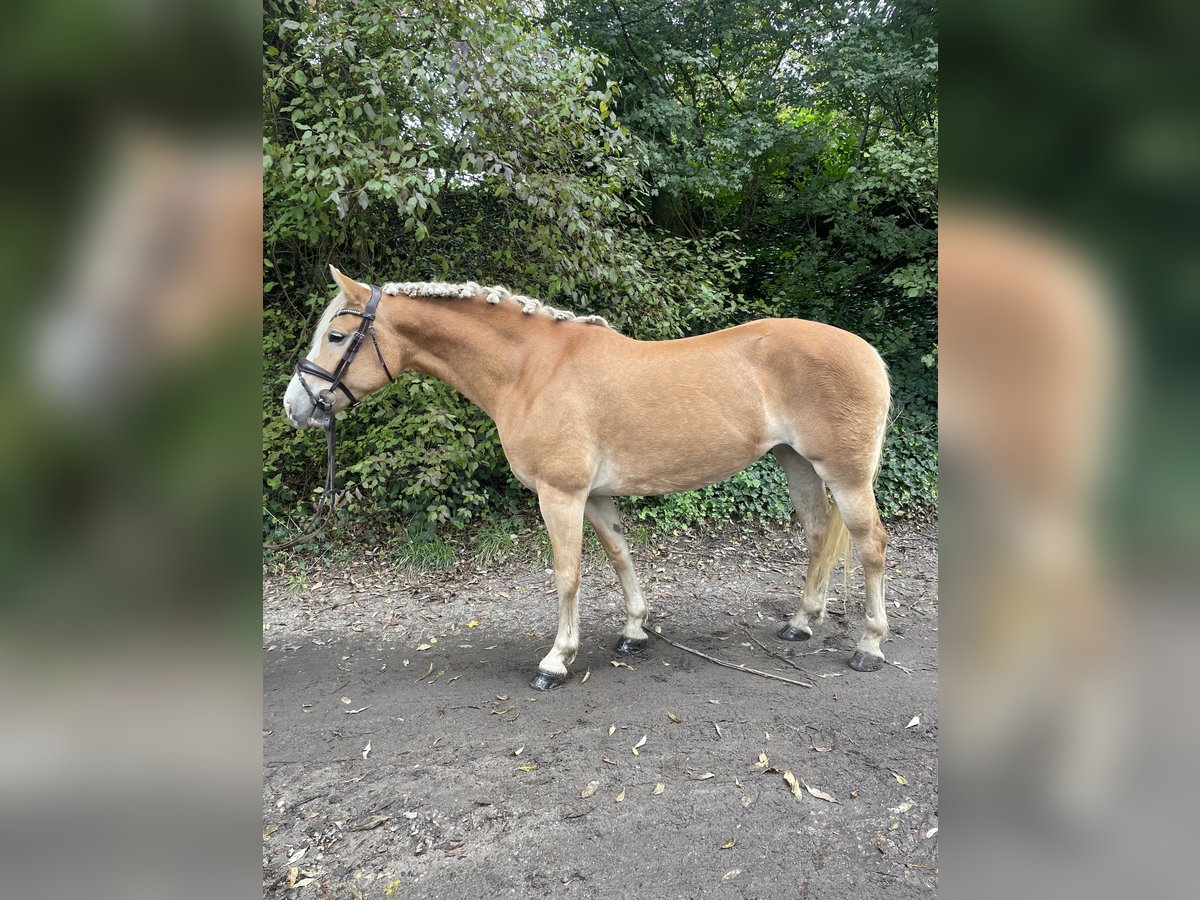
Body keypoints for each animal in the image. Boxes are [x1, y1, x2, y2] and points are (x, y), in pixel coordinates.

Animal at [283, 267, 892, 691]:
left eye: (336, 337)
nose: (296, 405)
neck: (531, 370)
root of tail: (868, 352)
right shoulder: (596, 497)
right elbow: (621, 557)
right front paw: (634, 631)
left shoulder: (562, 495)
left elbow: (567, 574)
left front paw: (557, 660)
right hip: (797, 463)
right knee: (818, 536)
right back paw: (801, 622)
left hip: (846, 475)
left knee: (871, 547)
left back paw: (869, 646)